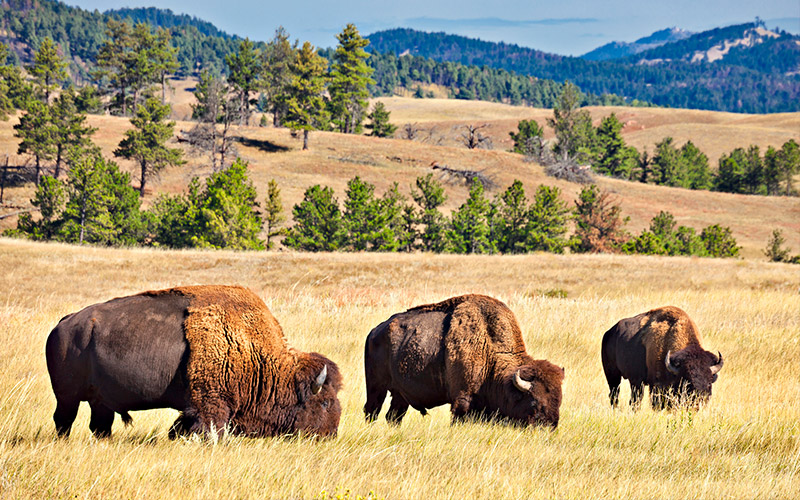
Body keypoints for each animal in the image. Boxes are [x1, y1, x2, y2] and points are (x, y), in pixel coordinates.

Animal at [44, 284, 340, 440]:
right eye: (325, 402)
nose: (331, 434)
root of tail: (63, 324)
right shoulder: (211, 404)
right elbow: (210, 429)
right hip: (67, 396)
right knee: (64, 420)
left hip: (99, 401)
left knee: (100, 425)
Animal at [362, 294, 564, 428]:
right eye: (534, 402)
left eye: (559, 401)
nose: (550, 428)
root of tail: (374, 331)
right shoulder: (462, 399)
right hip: (376, 387)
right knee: (372, 410)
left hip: (400, 394)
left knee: (393, 416)